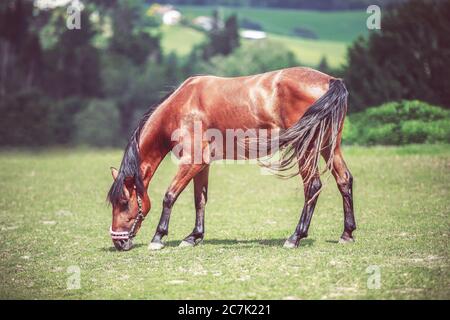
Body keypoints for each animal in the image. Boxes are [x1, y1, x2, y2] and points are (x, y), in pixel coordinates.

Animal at [108, 67, 356, 251]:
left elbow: (170, 196)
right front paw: (193, 236)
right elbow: (200, 200)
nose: (119, 242)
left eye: (123, 202)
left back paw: (295, 237)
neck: (182, 105)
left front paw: (158, 237)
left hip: (307, 148)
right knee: (344, 180)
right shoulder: (202, 165)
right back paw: (347, 233)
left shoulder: (192, 162)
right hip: (329, 148)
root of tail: (330, 81)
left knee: (312, 185)